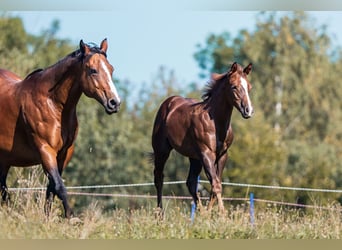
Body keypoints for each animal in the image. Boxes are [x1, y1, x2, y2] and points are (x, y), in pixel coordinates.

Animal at [0, 38, 120, 217]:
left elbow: (51, 189)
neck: (52, 103)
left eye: (111, 69)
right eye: (93, 70)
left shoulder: (64, 153)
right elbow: (59, 186)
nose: (114, 103)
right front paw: (71, 217)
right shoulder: (45, 150)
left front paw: (47, 217)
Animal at [152, 62, 254, 213]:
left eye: (249, 87)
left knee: (190, 182)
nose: (248, 110)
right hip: (162, 151)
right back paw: (160, 214)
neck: (216, 123)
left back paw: (201, 213)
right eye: (234, 86)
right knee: (159, 178)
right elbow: (216, 185)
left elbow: (215, 185)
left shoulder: (222, 155)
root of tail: (168, 103)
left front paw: (209, 213)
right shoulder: (207, 154)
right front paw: (222, 214)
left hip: (194, 158)